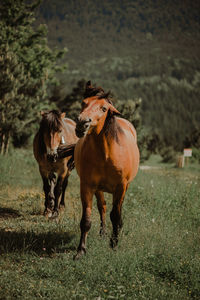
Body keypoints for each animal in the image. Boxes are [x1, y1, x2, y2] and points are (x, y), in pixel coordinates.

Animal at [73, 81, 139, 258]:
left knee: (117, 208)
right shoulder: (87, 186)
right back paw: (102, 232)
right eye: (84, 102)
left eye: (103, 108)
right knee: (102, 206)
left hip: (125, 187)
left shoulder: (121, 186)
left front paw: (114, 244)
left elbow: (115, 215)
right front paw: (81, 250)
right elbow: (86, 219)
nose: (82, 123)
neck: (106, 155)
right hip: (98, 189)